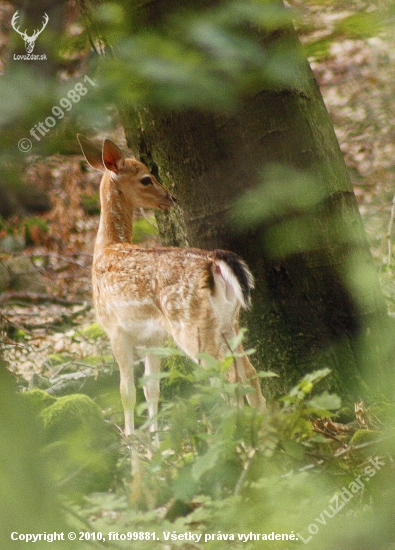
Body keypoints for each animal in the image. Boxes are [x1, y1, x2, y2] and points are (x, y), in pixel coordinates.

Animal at [77, 135, 266, 448]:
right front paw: (155, 445)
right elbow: (151, 390)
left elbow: (127, 391)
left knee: (227, 375)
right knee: (248, 372)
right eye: (146, 179)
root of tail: (215, 263)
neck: (107, 248)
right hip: (230, 322)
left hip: (191, 326)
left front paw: (132, 441)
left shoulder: (114, 328)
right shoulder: (152, 337)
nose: (171, 198)